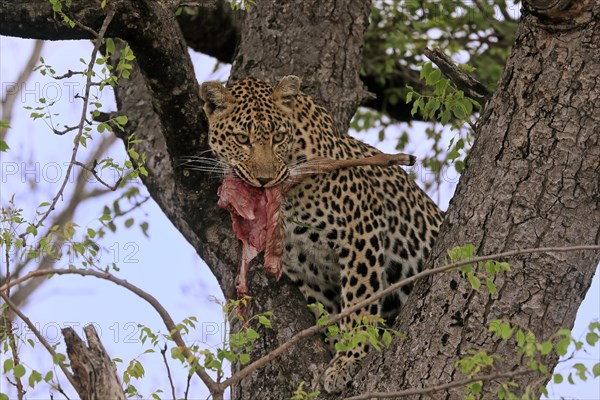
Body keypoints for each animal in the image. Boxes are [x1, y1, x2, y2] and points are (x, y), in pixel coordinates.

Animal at [199, 76, 442, 394]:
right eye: (242, 139)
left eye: (278, 137)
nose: (264, 180)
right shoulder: (304, 266)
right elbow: (327, 313)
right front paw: (336, 347)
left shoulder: (361, 229)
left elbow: (359, 299)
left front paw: (348, 358)